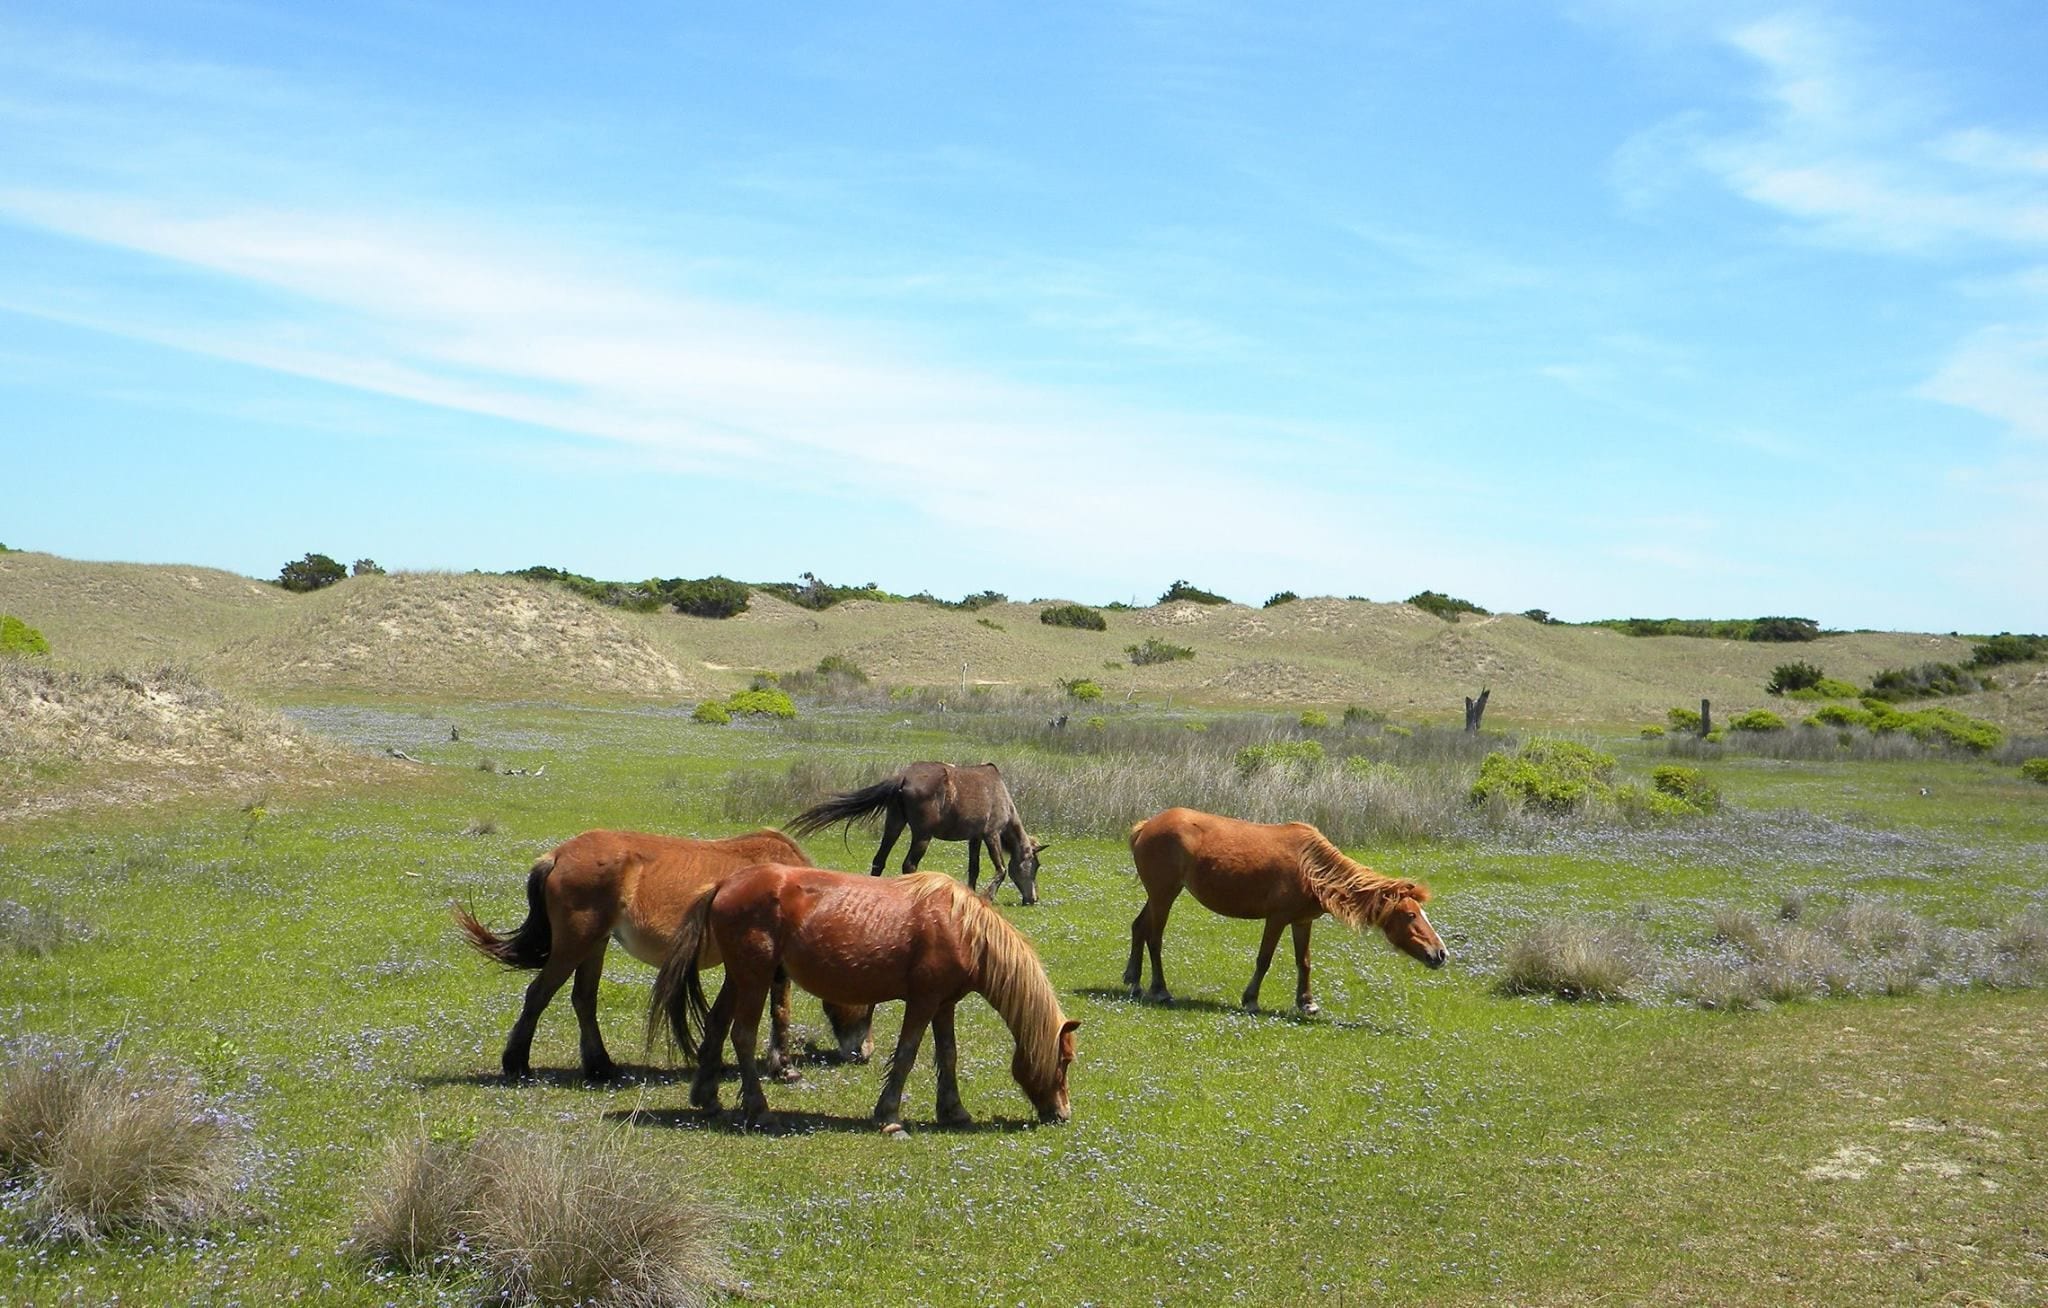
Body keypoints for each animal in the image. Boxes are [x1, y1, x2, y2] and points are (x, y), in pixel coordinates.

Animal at [452, 829, 873, 1082]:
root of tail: (556, 855)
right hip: (575, 944)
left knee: (583, 1000)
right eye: (870, 1005)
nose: (865, 1052)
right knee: (538, 994)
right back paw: (517, 1063)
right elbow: (779, 1012)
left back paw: (601, 1066)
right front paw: (783, 1068)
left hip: (594, 946)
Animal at [648, 864, 1080, 1131]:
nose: (1062, 1113)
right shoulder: (922, 1001)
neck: (964, 928)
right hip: (755, 979)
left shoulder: (944, 1004)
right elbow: (907, 1054)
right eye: (1065, 1061)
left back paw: (707, 1098)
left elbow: (948, 1055)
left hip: (739, 977)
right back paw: (760, 1111)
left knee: (717, 1025)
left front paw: (954, 1110)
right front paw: (888, 1113)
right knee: (742, 1035)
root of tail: (725, 884)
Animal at [786, 761, 1048, 905]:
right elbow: (1000, 869)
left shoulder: (973, 838)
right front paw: (988, 896)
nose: (1032, 899)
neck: (1002, 796)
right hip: (922, 835)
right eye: (1035, 866)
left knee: (879, 860)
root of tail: (903, 778)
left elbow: (973, 869)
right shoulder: (990, 834)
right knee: (909, 865)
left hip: (894, 824)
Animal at [1123, 807, 1445, 1014]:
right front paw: (1251, 999)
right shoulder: (1276, 919)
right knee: (1155, 938)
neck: (1310, 869)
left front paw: (1307, 1002)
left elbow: (1304, 962)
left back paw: (1134, 982)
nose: (1440, 954)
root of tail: (1146, 826)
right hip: (1164, 895)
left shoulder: (1301, 922)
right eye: (1411, 915)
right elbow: (1264, 959)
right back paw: (1160, 990)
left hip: (1157, 895)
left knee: (1139, 927)